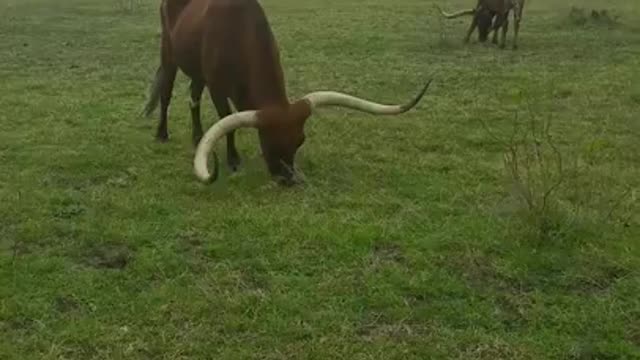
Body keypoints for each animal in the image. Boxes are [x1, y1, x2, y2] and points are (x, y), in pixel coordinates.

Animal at [143, 0, 432, 186]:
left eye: (300, 140)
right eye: (269, 140)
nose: (289, 179)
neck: (238, 31)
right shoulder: (217, 87)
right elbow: (227, 121)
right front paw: (233, 160)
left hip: (196, 70)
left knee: (193, 97)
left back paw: (196, 136)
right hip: (169, 54)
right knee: (166, 94)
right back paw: (161, 133)